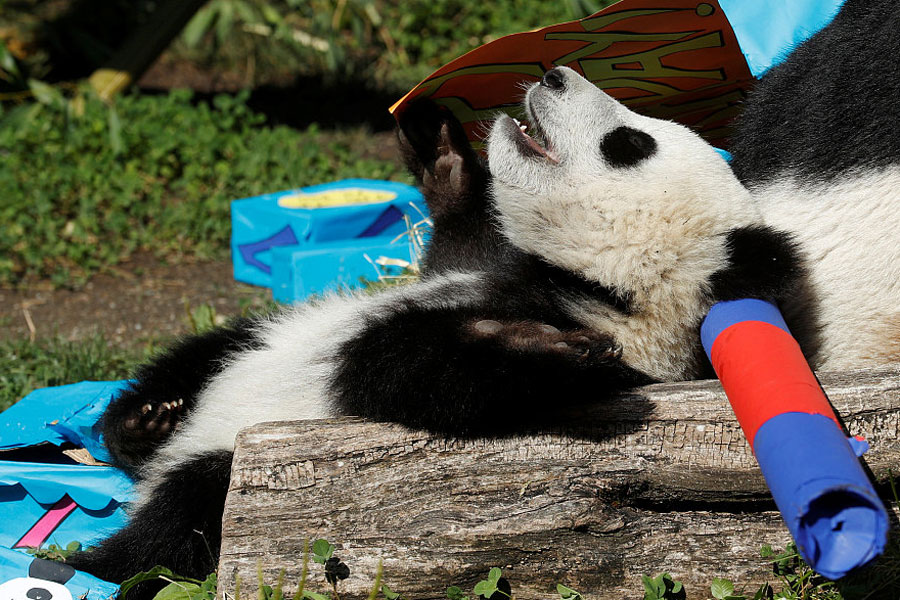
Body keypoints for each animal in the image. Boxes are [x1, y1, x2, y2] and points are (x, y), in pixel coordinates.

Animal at [68, 0, 898, 593]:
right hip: (245, 342)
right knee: (197, 358)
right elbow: (459, 235)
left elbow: (417, 372)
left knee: (178, 528)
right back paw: (143, 418)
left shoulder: (629, 340)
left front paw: (543, 351)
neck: (574, 282)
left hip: (227, 472)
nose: (556, 74)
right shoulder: (479, 260)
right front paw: (439, 142)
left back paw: (104, 548)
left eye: (629, 145)